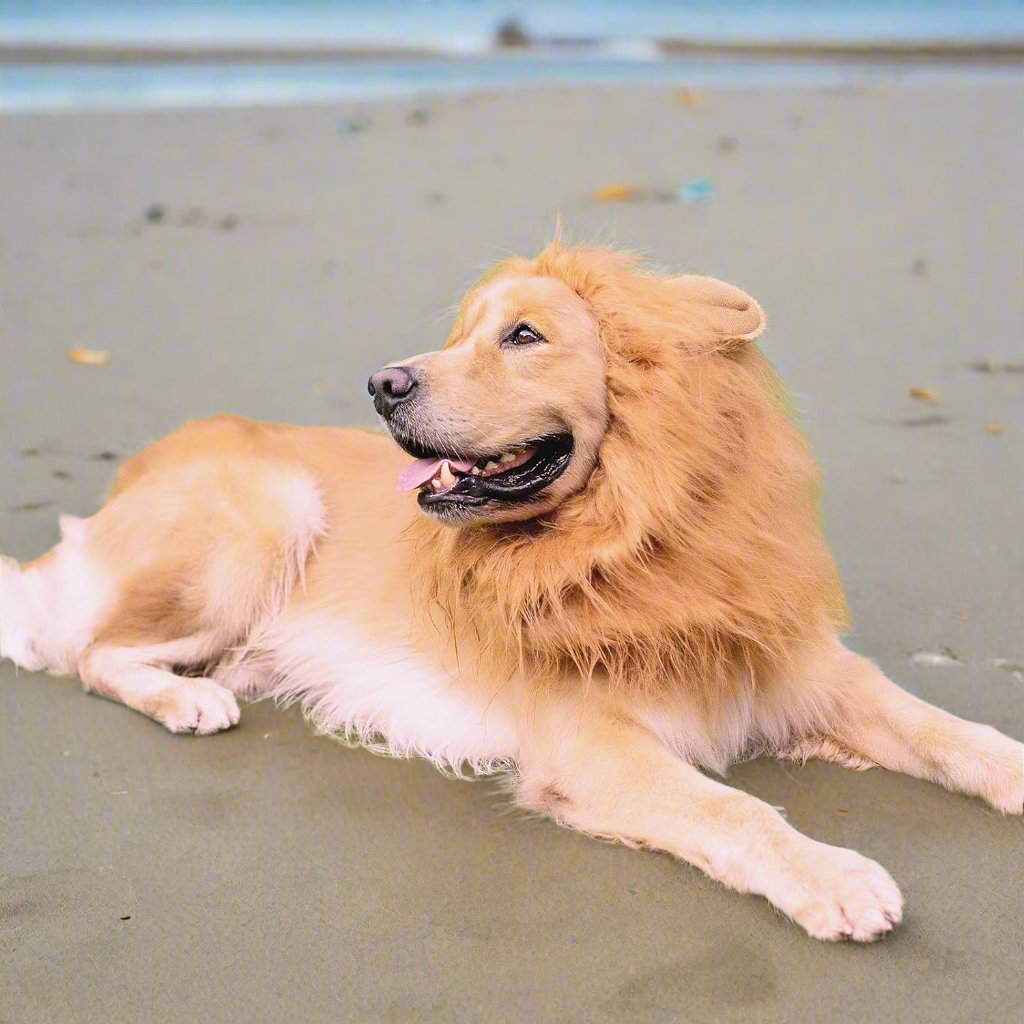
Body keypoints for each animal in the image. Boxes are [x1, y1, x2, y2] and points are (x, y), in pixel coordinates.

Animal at [4, 239, 1019, 942]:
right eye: (462, 333)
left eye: (523, 336)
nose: (381, 383)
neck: (631, 548)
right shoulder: (592, 743)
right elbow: (731, 808)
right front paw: (835, 877)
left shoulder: (803, 661)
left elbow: (946, 728)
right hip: (263, 521)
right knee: (91, 652)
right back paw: (187, 702)